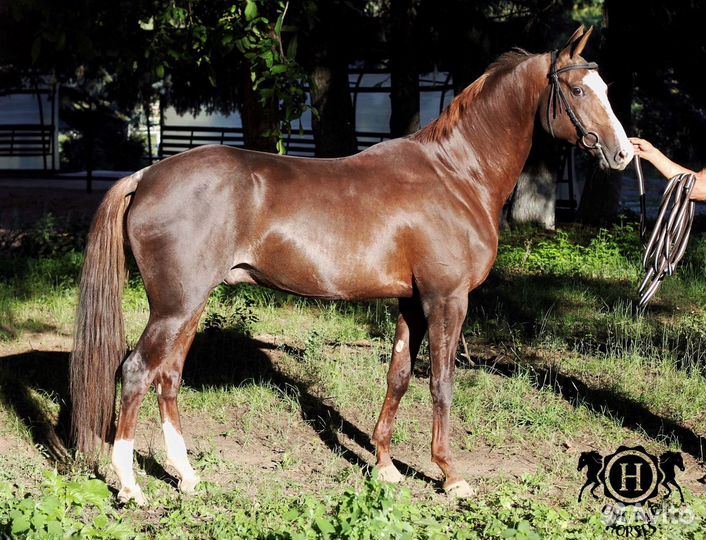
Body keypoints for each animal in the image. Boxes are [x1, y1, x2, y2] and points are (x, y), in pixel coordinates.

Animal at [70, 26, 633, 504]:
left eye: (605, 86)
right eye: (578, 91)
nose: (624, 154)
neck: (457, 174)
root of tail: (146, 176)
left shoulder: (412, 302)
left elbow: (398, 376)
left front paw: (385, 466)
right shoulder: (446, 299)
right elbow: (442, 383)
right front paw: (451, 476)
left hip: (193, 305)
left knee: (168, 376)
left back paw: (186, 477)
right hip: (175, 306)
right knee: (137, 371)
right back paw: (130, 486)